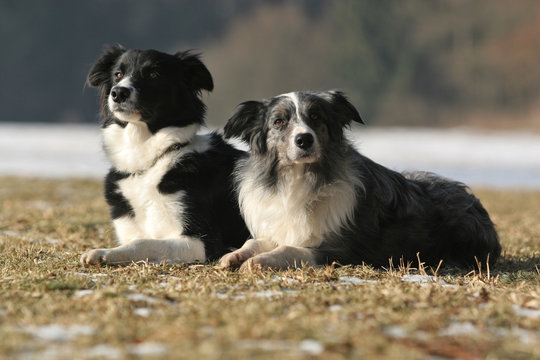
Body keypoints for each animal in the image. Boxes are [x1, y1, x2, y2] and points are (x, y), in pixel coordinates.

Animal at [81, 44, 250, 264]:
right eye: (118, 74)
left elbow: (143, 242)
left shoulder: (202, 241)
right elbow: (133, 241)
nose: (118, 92)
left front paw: (103, 252)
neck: (147, 162)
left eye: (154, 74)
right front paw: (105, 253)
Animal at [218, 90, 502, 270]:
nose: (304, 139)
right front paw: (234, 255)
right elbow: (256, 241)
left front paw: (257, 262)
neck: (300, 177)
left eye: (316, 117)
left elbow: (289, 249)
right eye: (279, 121)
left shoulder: (342, 250)